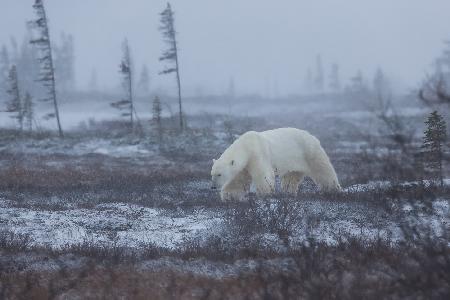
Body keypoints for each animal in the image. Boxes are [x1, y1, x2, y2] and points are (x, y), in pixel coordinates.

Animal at [211, 127, 342, 200]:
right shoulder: (245, 165)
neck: (247, 146)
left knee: (323, 169)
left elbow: (263, 175)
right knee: (291, 178)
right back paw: (288, 193)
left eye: (219, 174)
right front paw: (229, 196)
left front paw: (265, 194)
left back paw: (333, 189)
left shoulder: (258, 154)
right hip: (294, 162)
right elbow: (237, 180)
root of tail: (312, 136)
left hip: (309, 151)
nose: (213, 186)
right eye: (212, 174)